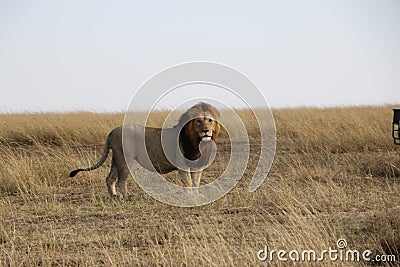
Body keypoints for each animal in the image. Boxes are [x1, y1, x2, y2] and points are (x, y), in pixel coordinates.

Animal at [72, 103, 222, 200]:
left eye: (210, 120)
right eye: (198, 121)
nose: (206, 131)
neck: (198, 142)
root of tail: (112, 131)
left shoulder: (197, 166)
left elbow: (196, 182)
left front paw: (197, 196)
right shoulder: (182, 165)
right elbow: (189, 183)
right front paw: (190, 197)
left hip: (116, 158)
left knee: (110, 178)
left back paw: (114, 196)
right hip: (125, 158)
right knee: (121, 180)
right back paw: (126, 197)